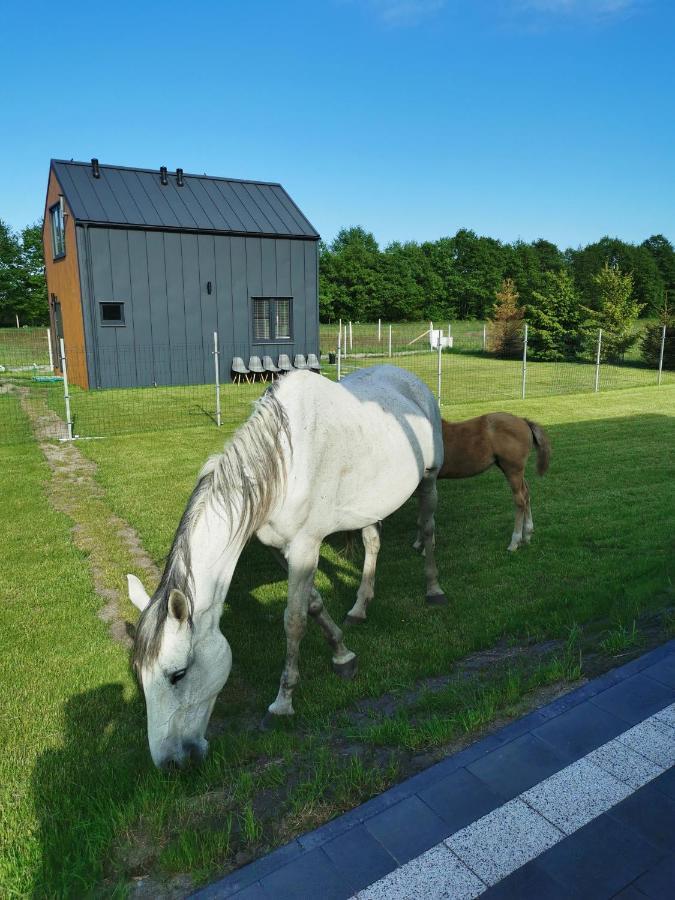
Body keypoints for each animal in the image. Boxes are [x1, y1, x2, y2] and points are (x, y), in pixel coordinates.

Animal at [127, 364, 446, 768]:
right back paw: (359, 608)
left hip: (429, 480)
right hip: (370, 506)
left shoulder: (306, 547)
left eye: (177, 674)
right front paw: (343, 654)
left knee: (428, 531)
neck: (282, 464)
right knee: (373, 544)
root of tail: (408, 378)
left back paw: (433, 590)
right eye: (139, 674)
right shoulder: (282, 550)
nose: (170, 763)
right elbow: (313, 605)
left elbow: (293, 622)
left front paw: (282, 704)